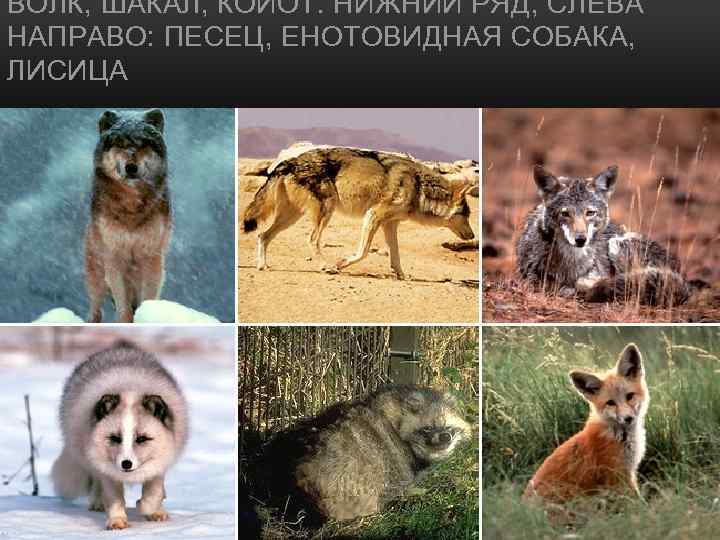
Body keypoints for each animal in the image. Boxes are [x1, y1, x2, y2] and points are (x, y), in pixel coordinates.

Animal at [51, 340, 189, 530]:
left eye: (142, 438)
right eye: (115, 438)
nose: (126, 464)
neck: (130, 388)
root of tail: (119, 349)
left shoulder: (160, 464)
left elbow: (153, 494)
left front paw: (148, 508)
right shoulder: (108, 471)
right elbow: (114, 499)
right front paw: (117, 521)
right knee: (97, 483)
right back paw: (98, 503)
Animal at [85, 109, 172, 323]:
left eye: (143, 144)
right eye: (120, 144)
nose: (131, 167)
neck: (131, 205)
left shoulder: (151, 258)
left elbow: (146, 299)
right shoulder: (114, 259)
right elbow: (123, 307)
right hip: (96, 274)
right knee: (96, 308)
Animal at [242, 146, 476, 279]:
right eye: (466, 215)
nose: (473, 235)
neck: (418, 187)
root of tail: (289, 162)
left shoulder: (390, 224)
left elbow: (396, 256)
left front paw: (403, 276)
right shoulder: (373, 216)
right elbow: (363, 252)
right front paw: (341, 264)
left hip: (292, 217)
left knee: (262, 235)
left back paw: (262, 266)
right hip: (324, 212)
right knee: (311, 239)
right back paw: (326, 266)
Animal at [516, 164, 693, 306]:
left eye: (590, 213)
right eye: (565, 214)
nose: (580, 239)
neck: (572, 260)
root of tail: (683, 278)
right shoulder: (530, 278)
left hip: (616, 244)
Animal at [524, 343, 649, 502]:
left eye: (630, 396)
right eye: (610, 403)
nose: (628, 418)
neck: (617, 434)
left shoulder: (627, 472)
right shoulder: (617, 476)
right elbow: (636, 502)